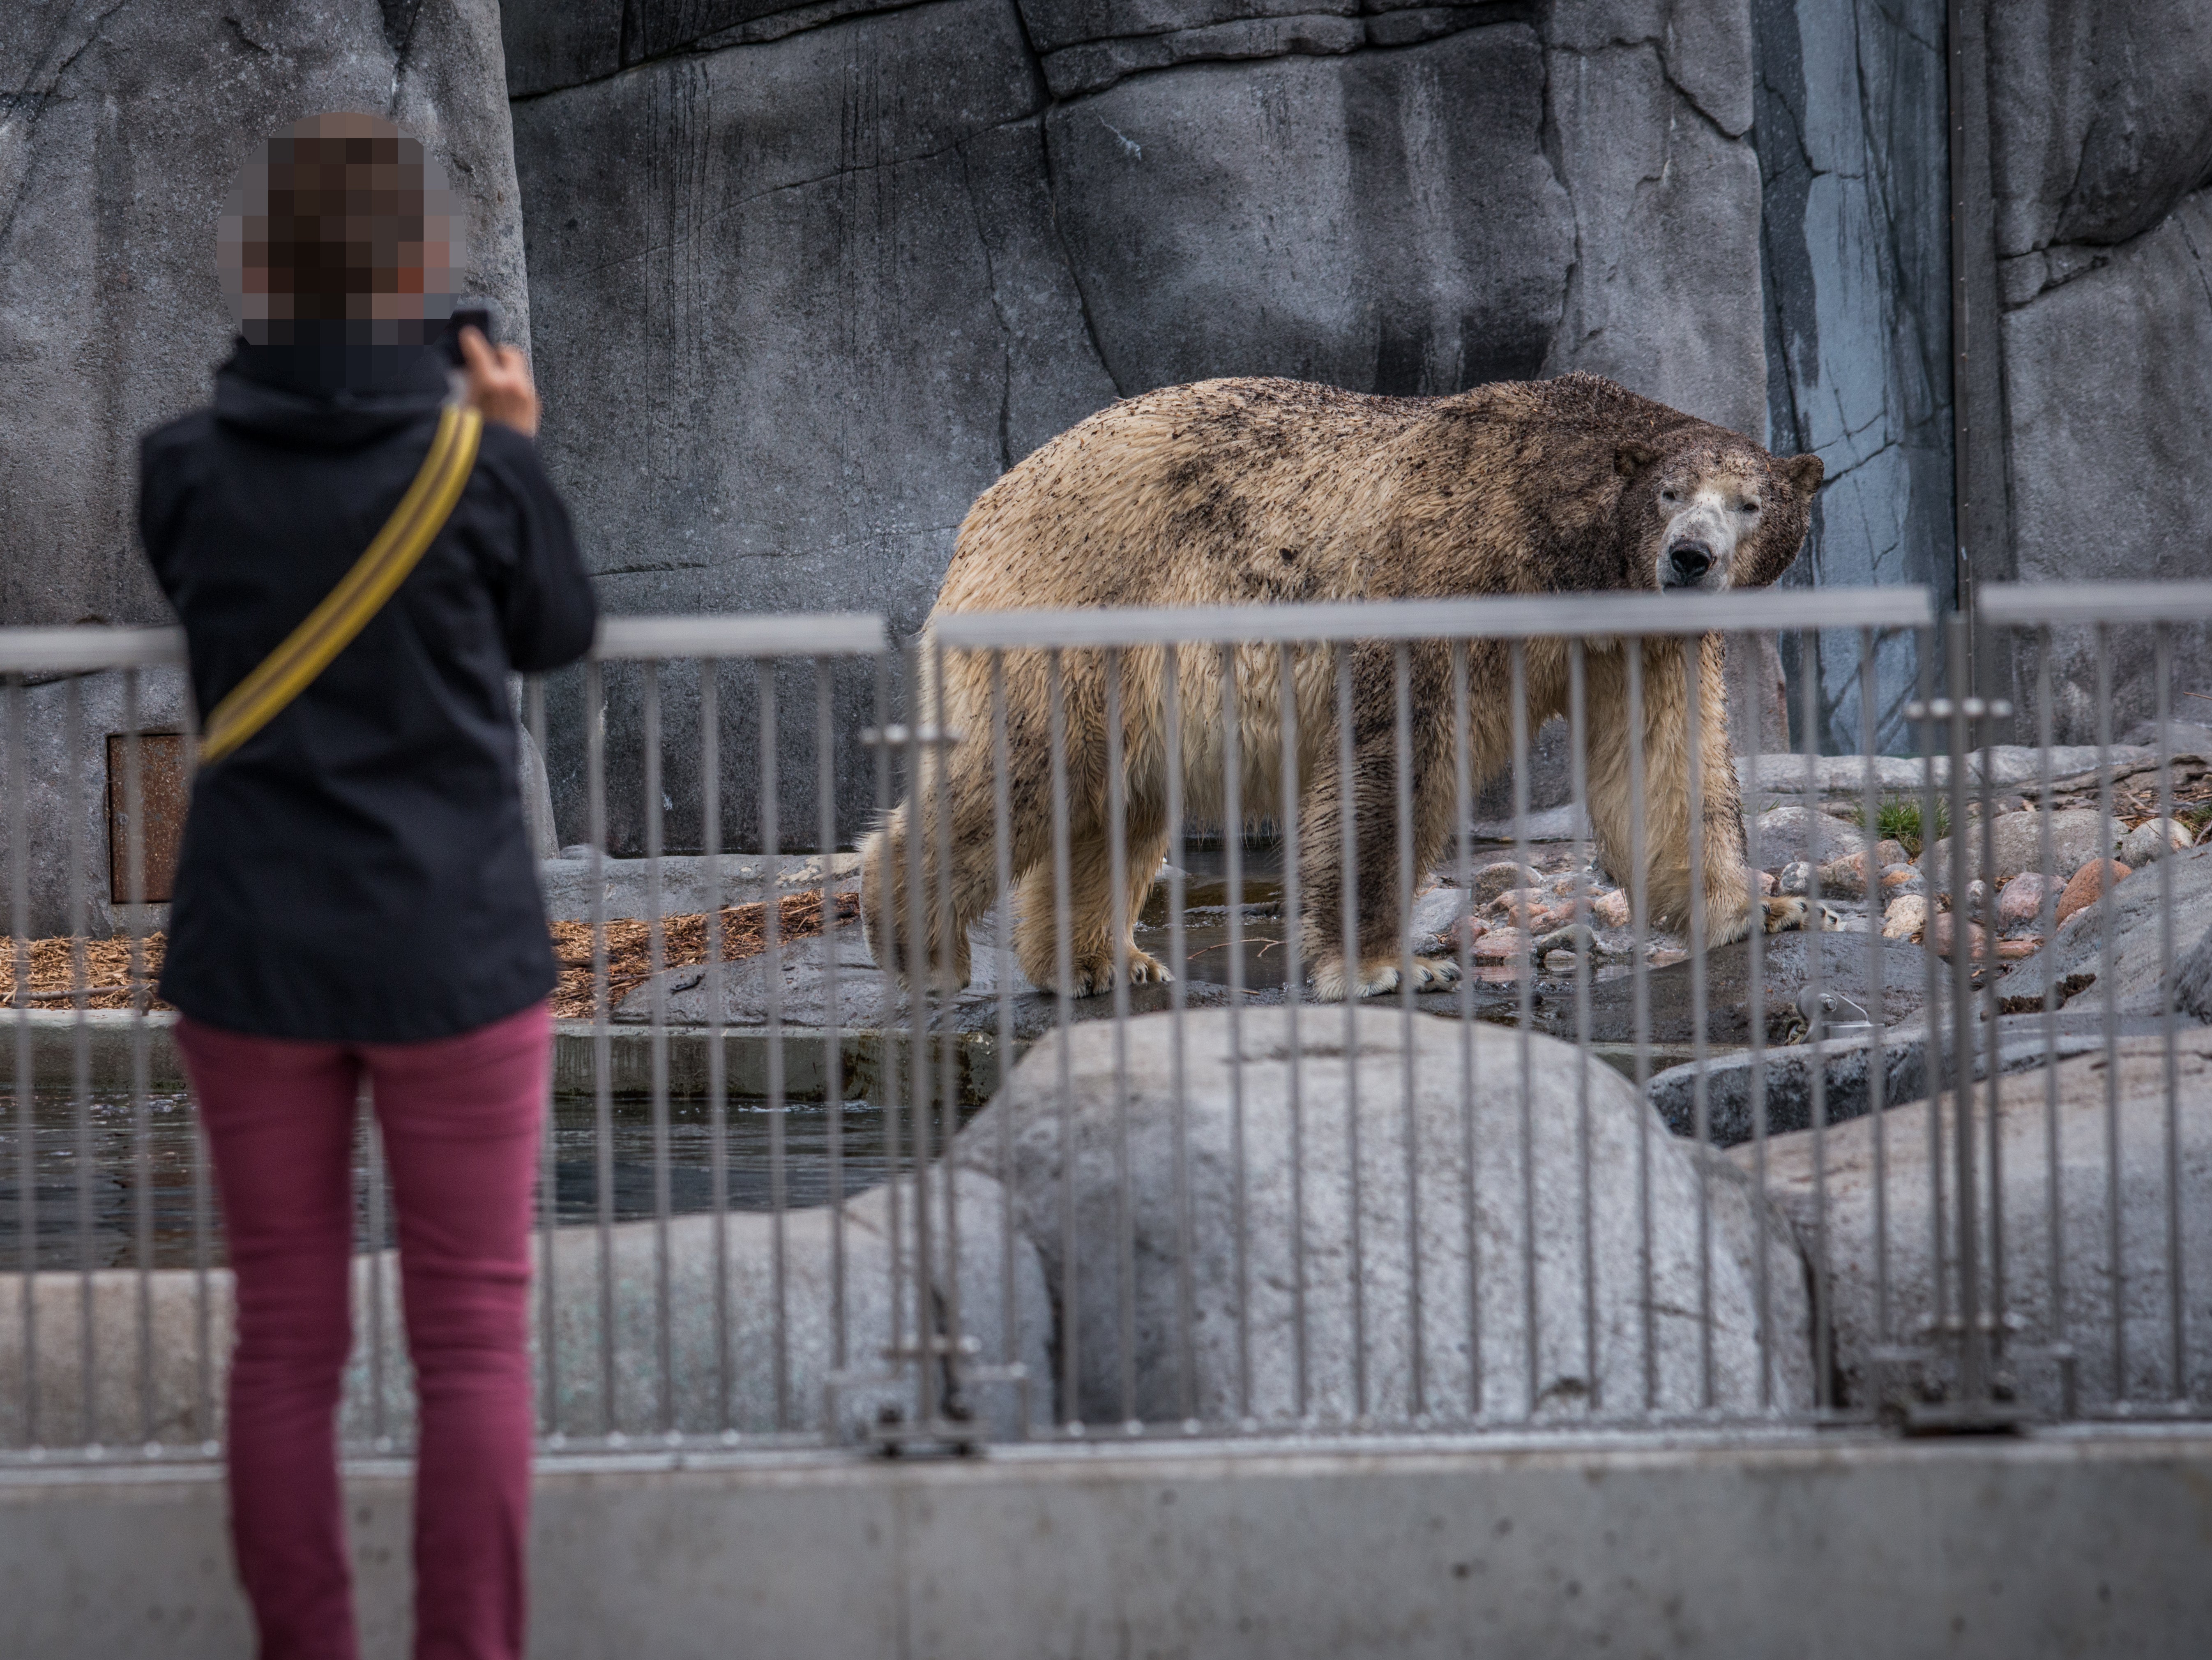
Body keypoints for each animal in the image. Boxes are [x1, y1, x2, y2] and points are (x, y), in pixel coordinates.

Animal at [858, 376, 1813, 1000]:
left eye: (1750, 503)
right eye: (1670, 493)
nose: (1689, 559)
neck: (1554, 514)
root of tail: (988, 503)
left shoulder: (1636, 635)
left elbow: (1663, 761)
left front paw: (1761, 909)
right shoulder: (1449, 575)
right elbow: (1395, 756)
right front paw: (1389, 965)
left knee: (1112, 799)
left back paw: (1101, 962)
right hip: (1076, 602)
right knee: (1024, 766)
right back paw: (921, 947)